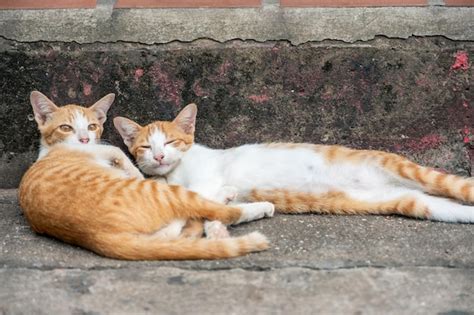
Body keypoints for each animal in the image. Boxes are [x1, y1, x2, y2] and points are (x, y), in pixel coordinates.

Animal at [18, 92, 274, 262]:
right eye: (65, 128)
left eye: (91, 126)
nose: (84, 139)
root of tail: (94, 234)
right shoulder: (93, 151)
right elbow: (118, 151)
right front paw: (136, 169)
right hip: (167, 195)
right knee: (209, 211)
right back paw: (245, 203)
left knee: (172, 231)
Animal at [113, 103, 472, 230]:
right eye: (146, 146)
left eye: (171, 142)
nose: (159, 157)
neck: (176, 171)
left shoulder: (206, 178)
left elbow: (201, 195)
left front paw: (226, 197)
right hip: (412, 202)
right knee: (446, 206)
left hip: (408, 170)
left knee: (458, 187)